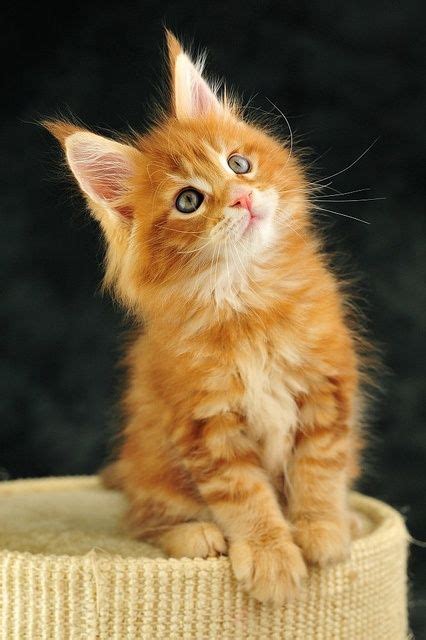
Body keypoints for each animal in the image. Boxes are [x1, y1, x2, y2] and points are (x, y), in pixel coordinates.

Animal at [46, 32, 366, 604]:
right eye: (189, 200)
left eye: (238, 164)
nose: (241, 197)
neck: (249, 301)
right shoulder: (205, 423)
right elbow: (245, 497)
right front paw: (270, 555)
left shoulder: (325, 389)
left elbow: (319, 468)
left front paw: (322, 528)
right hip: (154, 463)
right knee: (143, 519)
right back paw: (194, 534)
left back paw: (348, 519)